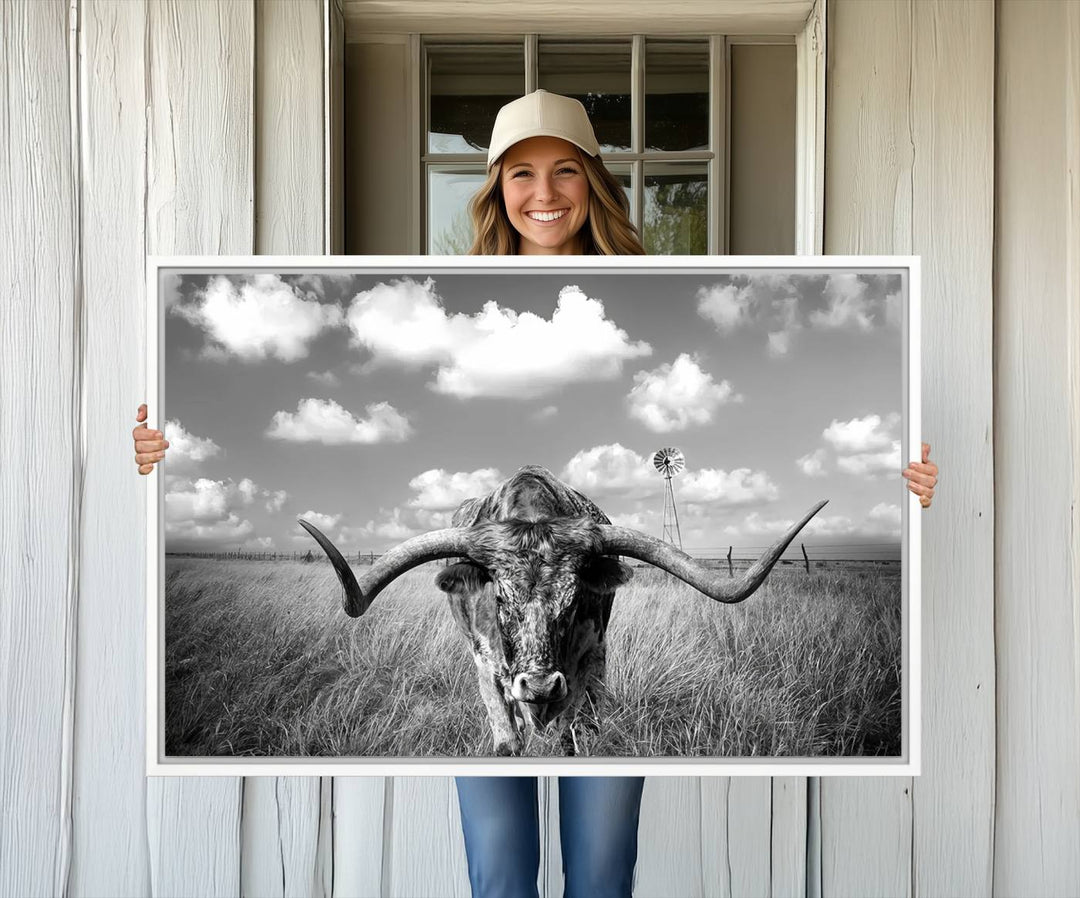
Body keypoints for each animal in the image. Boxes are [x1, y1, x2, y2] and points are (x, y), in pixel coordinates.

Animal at [298, 466, 825, 756]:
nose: (538, 685)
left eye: (572, 602)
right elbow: (507, 738)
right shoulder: (486, 667)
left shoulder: (584, 664)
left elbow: (568, 736)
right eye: (499, 598)